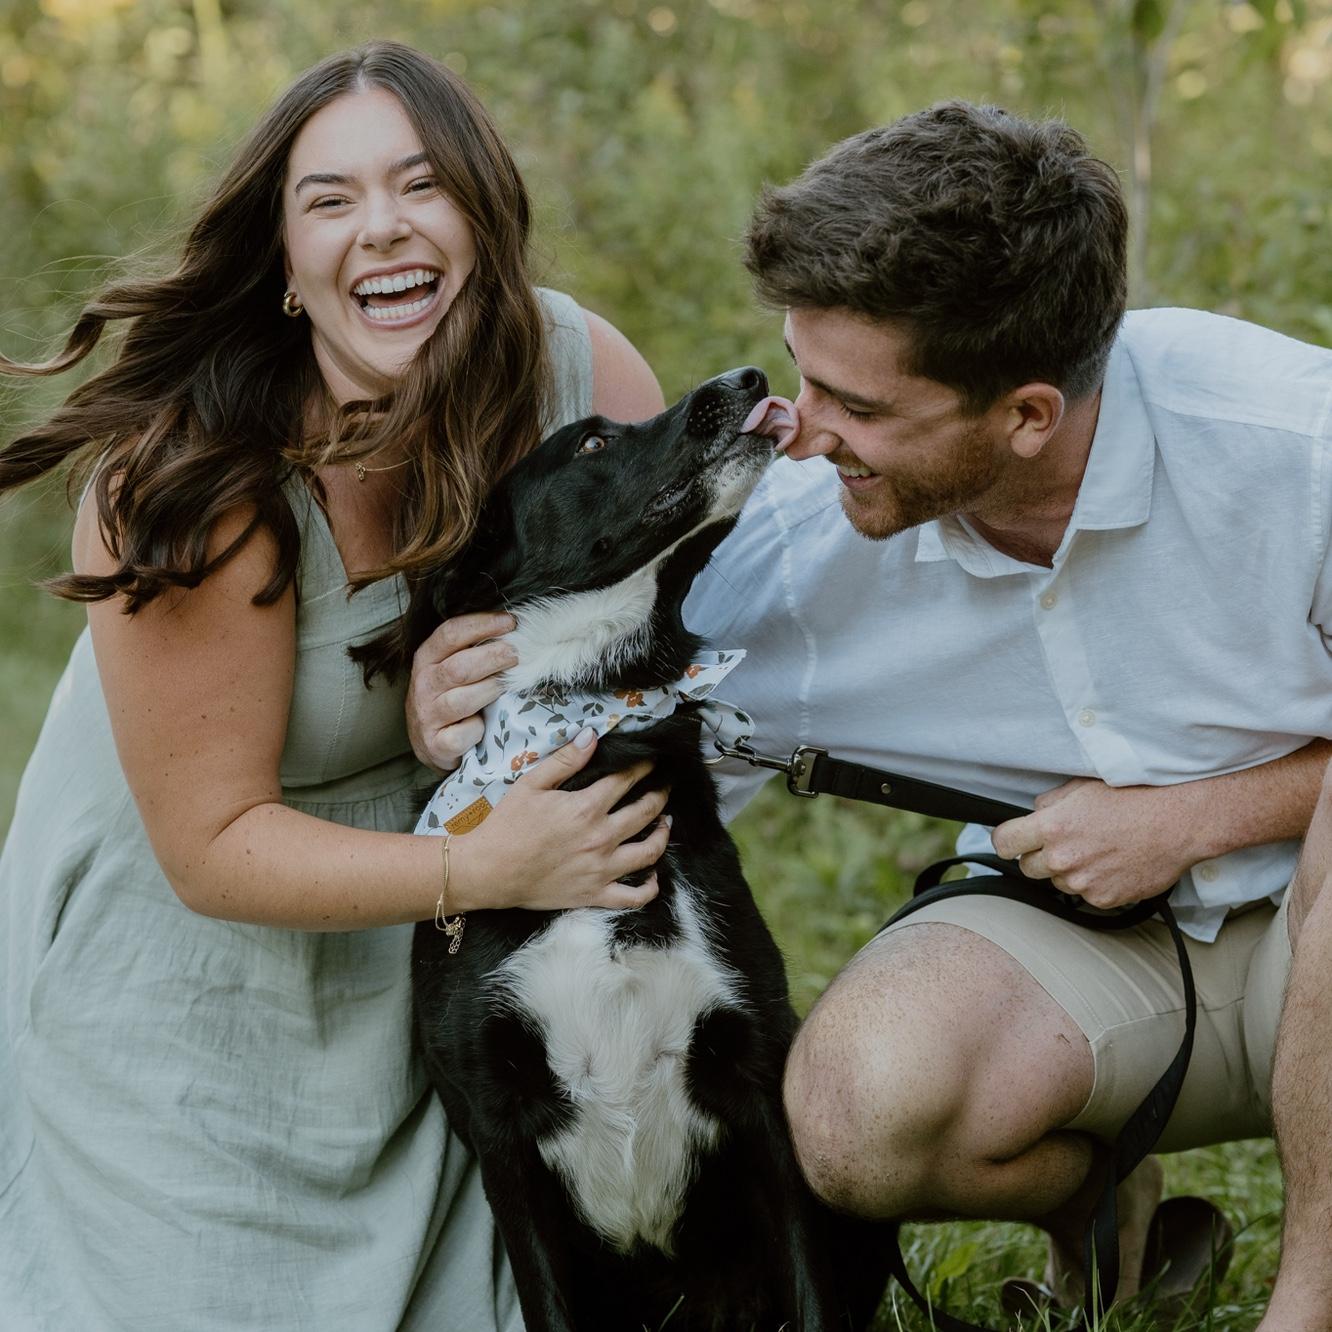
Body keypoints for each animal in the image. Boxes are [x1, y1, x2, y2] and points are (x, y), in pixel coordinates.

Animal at [411, 368, 889, 1331]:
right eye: (593, 442)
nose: (746, 379)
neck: (599, 721)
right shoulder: (496, 1120)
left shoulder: (758, 1072)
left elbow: (811, 1291)